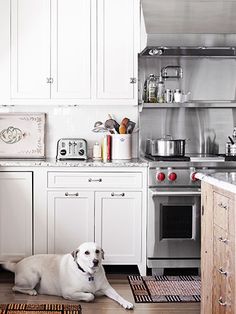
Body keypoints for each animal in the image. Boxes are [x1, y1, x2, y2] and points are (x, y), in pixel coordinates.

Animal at [3, 243, 134, 310]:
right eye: (86, 252)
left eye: (97, 251)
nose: (96, 261)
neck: (88, 273)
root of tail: (17, 264)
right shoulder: (69, 292)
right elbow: (90, 295)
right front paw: (89, 296)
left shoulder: (107, 288)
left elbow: (118, 295)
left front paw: (126, 302)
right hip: (34, 276)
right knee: (15, 288)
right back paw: (31, 291)